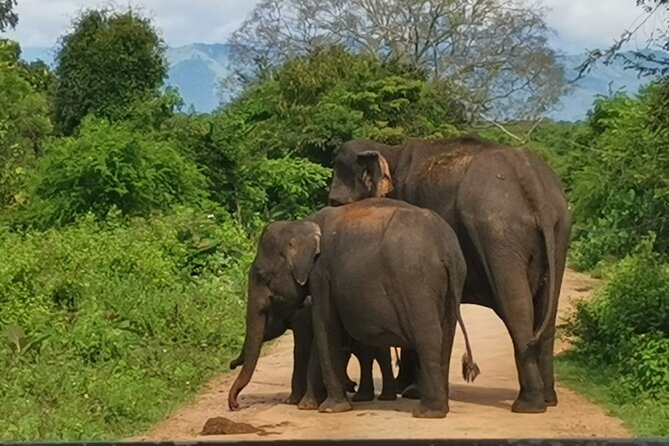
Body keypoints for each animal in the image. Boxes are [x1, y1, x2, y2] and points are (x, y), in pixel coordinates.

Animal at [227, 199, 478, 418]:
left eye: (262, 276)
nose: (235, 405)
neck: (301, 224)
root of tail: (445, 249)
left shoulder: (321, 276)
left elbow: (325, 327)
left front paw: (330, 409)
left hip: (416, 283)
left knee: (428, 336)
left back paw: (427, 413)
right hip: (451, 284)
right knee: (446, 336)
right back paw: (435, 408)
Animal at [326, 136, 568, 414]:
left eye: (335, 204)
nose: (351, 385)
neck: (389, 151)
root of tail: (532, 182)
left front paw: (410, 391)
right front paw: (406, 389)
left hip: (498, 234)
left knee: (516, 308)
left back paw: (528, 405)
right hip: (559, 233)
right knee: (547, 314)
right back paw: (548, 399)